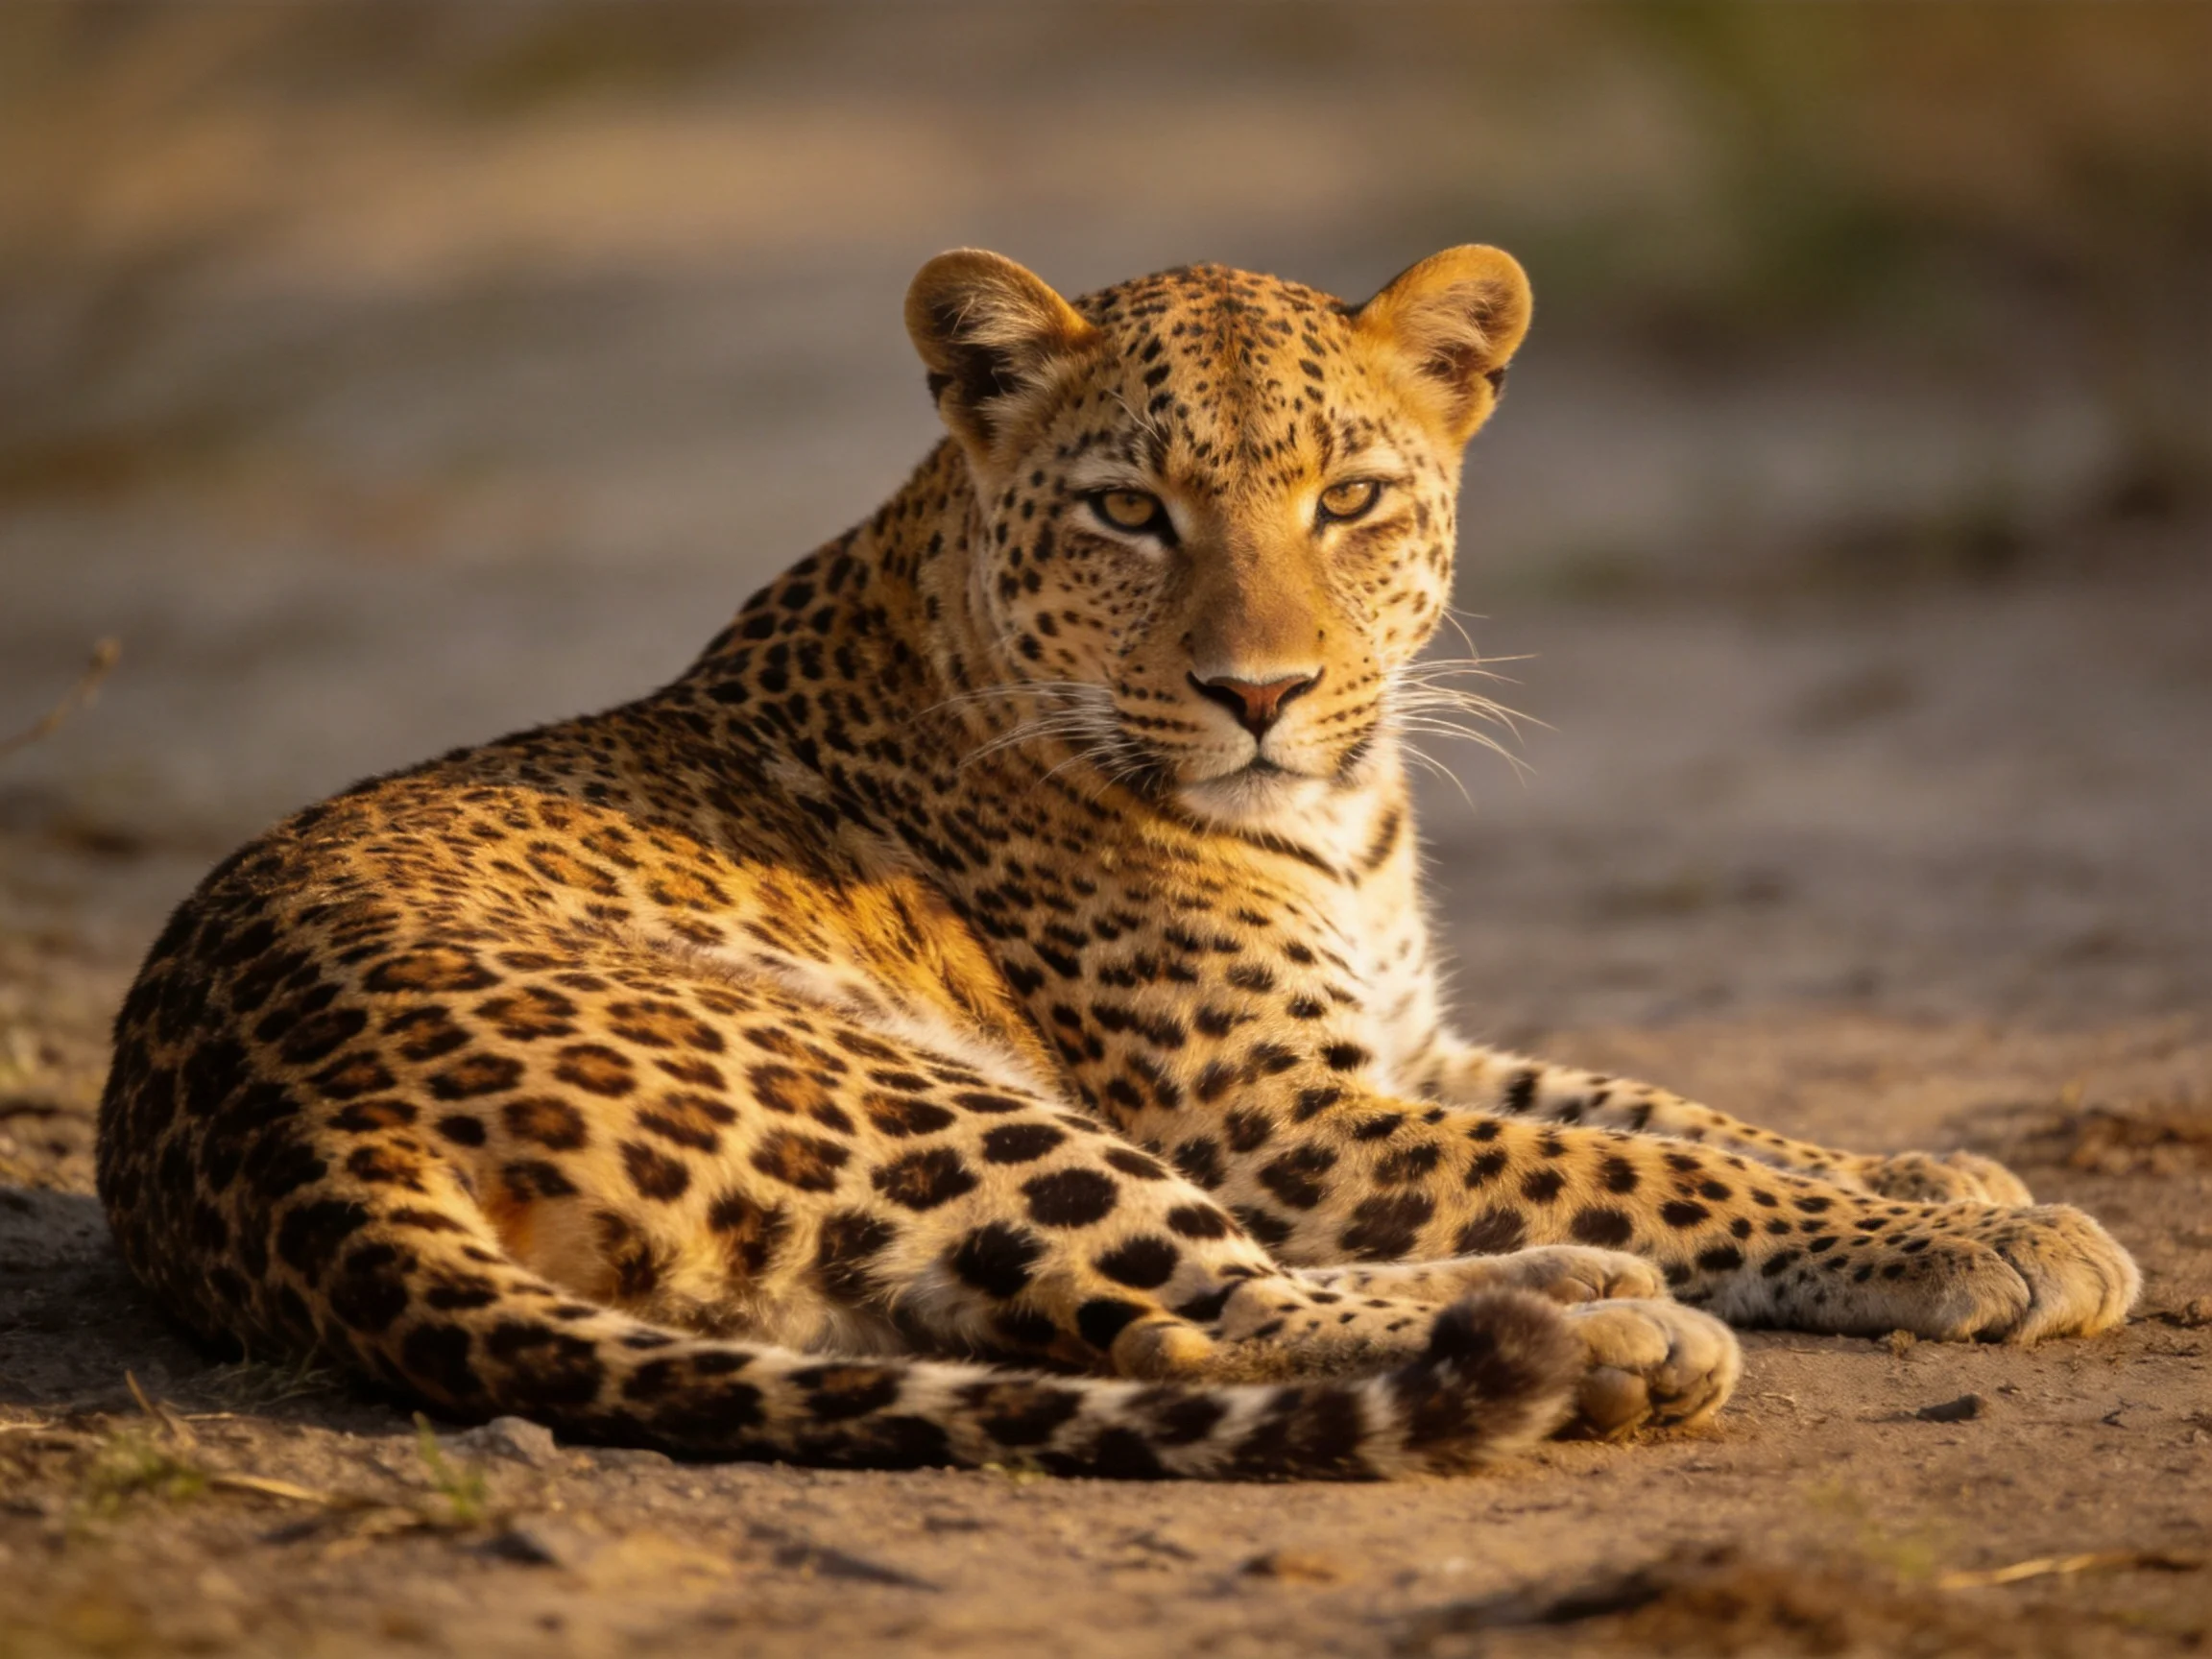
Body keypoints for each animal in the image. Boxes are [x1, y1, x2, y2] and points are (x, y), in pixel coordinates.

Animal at [95, 246, 2139, 1481]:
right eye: (1125, 511)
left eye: (1348, 498)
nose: (1259, 690)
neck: (1336, 818)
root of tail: (274, 1151)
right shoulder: (1284, 1113)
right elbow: (1644, 1160)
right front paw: (1985, 1229)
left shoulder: (1398, 1045)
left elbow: (1666, 1111)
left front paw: (1933, 1172)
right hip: (915, 1082)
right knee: (1200, 1317)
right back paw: (1598, 1324)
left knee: (1060, 1322)